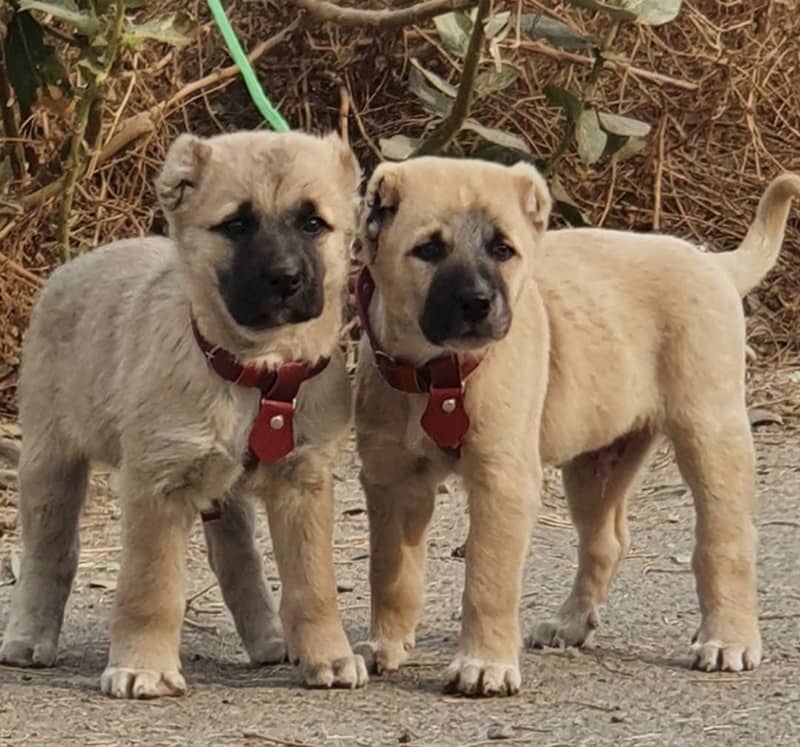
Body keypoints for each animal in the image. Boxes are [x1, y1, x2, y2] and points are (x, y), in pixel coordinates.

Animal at [0, 131, 368, 700]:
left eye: (313, 223)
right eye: (236, 225)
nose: (285, 278)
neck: (256, 371)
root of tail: (73, 265)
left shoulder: (303, 482)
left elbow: (313, 584)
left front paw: (327, 655)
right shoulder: (158, 485)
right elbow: (151, 587)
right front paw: (144, 665)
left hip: (222, 488)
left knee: (236, 556)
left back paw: (267, 639)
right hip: (50, 460)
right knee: (50, 553)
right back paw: (29, 635)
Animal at [354, 155, 800, 700]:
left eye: (503, 250)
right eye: (429, 250)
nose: (478, 302)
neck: (437, 372)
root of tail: (712, 262)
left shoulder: (503, 481)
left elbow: (487, 580)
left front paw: (483, 664)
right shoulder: (390, 481)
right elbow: (389, 572)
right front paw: (385, 646)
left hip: (710, 432)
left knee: (726, 539)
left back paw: (728, 638)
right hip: (596, 465)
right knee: (605, 542)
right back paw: (570, 623)